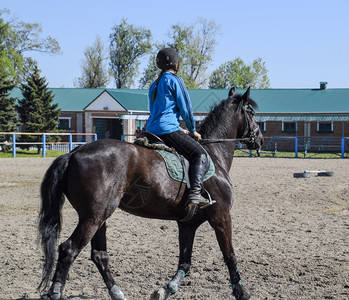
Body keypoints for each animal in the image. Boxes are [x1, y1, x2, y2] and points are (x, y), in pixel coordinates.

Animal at [38, 85, 262, 298]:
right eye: (251, 112)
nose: (259, 139)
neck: (214, 155)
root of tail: (73, 153)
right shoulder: (221, 216)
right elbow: (229, 255)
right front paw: (241, 292)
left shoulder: (188, 224)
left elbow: (185, 262)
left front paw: (166, 290)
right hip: (92, 217)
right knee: (68, 249)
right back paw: (56, 292)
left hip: (98, 217)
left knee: (99, 255)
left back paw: (117, 292)